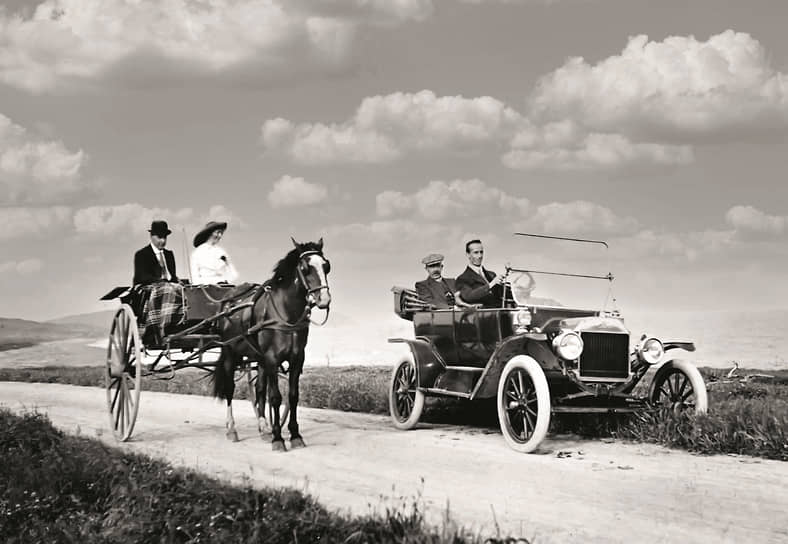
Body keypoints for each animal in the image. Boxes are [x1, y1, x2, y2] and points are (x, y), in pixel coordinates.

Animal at [211, 238, 330, 450]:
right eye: (305, 268)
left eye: (326, 266)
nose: (324, 299)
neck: (285, 313)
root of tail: (226, 303)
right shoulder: (272, 358)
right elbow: (275, 397)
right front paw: (278, 438)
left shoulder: (296, 358)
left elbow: (292, 396)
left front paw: (294, 435)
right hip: (231, 352)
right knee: (230, 389)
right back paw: (232, 428)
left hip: (258, 358)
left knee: (259, 389)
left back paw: (263, 428)